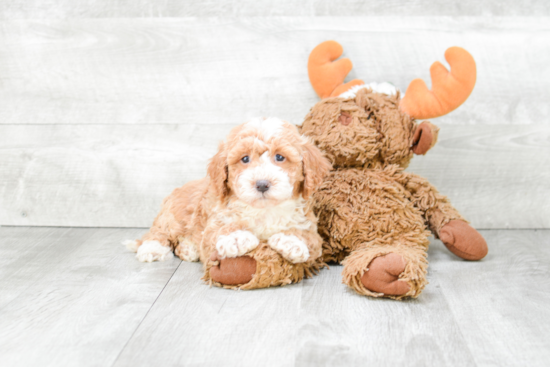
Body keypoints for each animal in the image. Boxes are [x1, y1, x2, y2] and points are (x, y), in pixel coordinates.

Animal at [125, 118, 332, 290]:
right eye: (245, 159)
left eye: (280, 157)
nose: (262, 184)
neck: (264, 210)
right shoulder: (215, 220)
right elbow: (219, 230)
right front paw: (236, 237)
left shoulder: (311, 229)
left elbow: (309, 239)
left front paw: (291, 241)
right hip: (174, 216)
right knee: (158, 233)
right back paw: (153, 249)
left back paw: (189, 249)